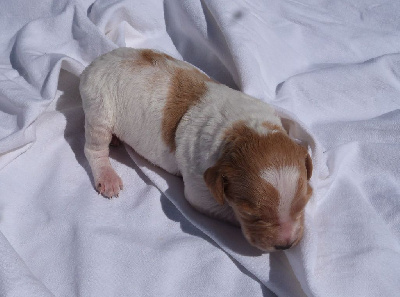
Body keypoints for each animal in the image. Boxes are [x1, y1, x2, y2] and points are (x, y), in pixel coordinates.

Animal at [79, 47, 314, 251]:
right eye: (251, 215)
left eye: (303, 203)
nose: (285, 245)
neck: (241, 130)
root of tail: (92, 65)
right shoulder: (199, 189)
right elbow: (222, 208)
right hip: (99, 108)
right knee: (93, 149)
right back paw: (107, 176)